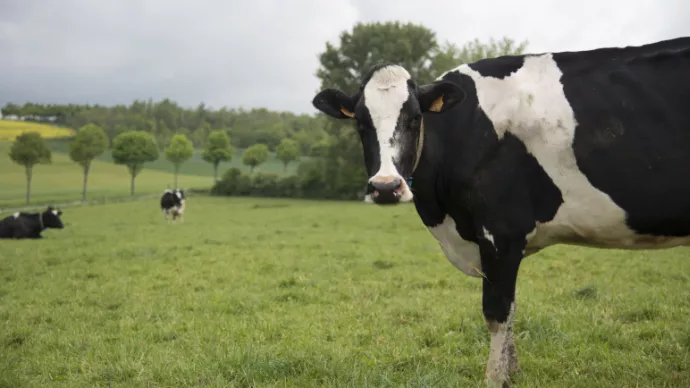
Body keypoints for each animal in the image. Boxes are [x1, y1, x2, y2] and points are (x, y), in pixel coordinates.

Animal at [312, 35, 688, 384]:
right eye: (360, 123)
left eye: (415, 118)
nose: (386, 187)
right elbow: (512, 308)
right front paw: (513, 372)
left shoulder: (501, 232)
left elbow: (497, 311)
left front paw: (495, 378)